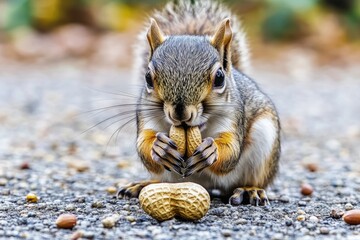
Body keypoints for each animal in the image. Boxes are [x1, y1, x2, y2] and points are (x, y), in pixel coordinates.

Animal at [118, 0, 282, 206]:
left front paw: (211, 151)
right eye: (147, 77)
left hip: (264, 139)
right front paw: (159, 147)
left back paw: (249, 190)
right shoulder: (146, 116)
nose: (180, 113)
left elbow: (231, 151)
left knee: (252, 179)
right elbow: (144, 145)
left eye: (219, 77)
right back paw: (144, 184)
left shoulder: (234, 118)